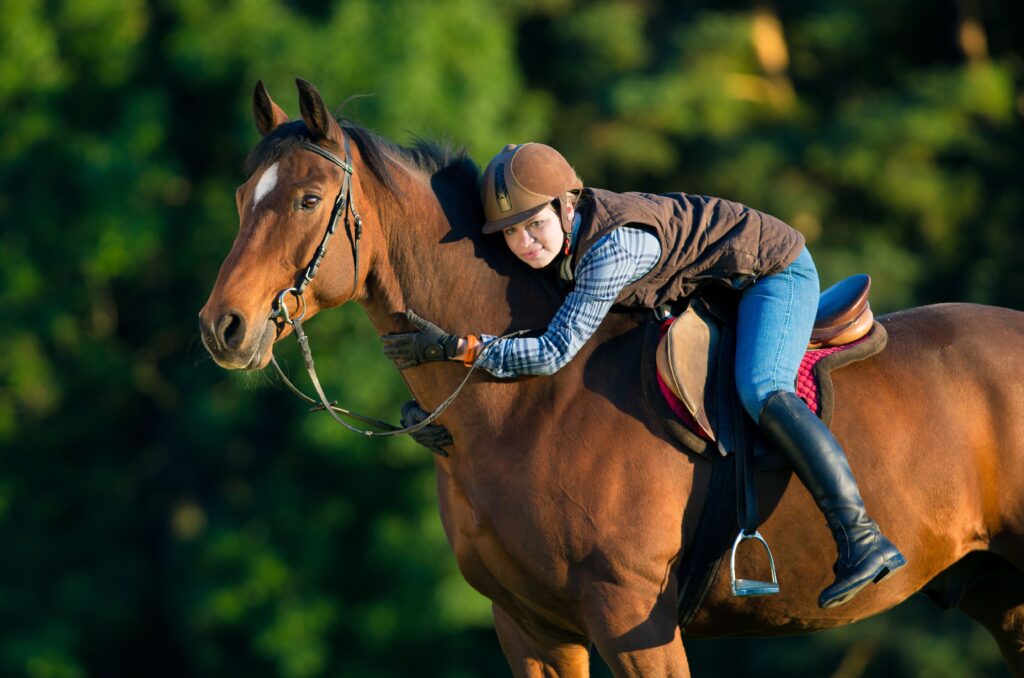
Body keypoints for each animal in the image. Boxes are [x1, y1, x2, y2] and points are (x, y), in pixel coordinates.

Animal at [199, 78, 1024, 675]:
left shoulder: (631, 617)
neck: (525, 406)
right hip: (1001, 594)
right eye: (241, 199)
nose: (222, 327)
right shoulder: (530, 626)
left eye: (308, 199)